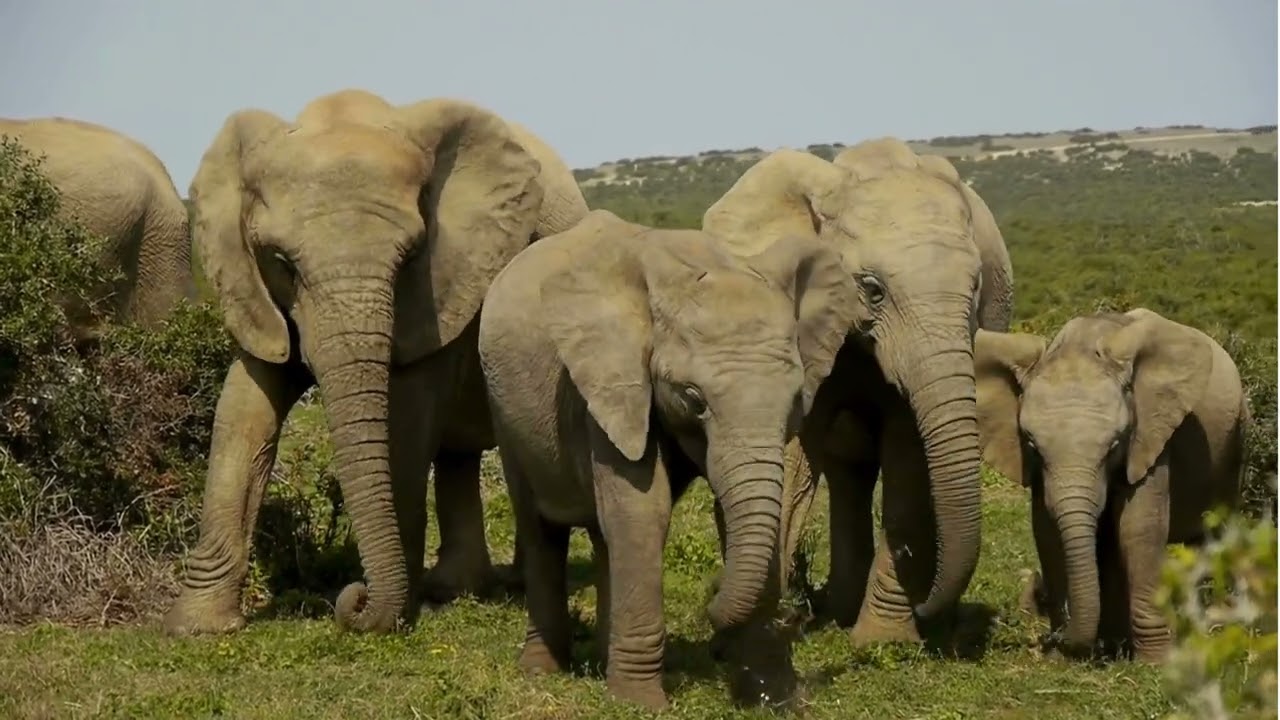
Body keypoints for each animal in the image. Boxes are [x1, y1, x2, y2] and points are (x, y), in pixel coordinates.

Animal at [162, 89, 588, 636]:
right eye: (281, 262)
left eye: (409, 257)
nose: (354, 598)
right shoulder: (254, 290)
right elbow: (245, 407)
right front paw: (198, 628)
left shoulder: (444, 282)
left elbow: (408, 413)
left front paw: (396, 615)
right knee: (458, 451)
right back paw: (454, 590)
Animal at [476, 209, 862, 710]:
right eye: (693, 398)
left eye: (796, 398)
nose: (711, 599)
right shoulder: (608, 382)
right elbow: (644, 508)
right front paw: (639, 705)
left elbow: (729, 508)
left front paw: (771, 696)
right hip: (504, 407)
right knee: (541, 527)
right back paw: (543, 669)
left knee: (604, 533)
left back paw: (602, 659)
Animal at [700, 138, 1014, 646]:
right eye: (872, 289)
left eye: (976, 287)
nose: (928, 606)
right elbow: (791, 456)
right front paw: (762, 634)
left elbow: (908, 452)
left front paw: (884, 641)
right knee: (848, 466)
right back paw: (836, 610)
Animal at [974, 307, 1248, 662]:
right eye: (1033, 446)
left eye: (1115, 444)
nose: (1058, 638)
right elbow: (1047, 529)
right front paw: (1064, 655)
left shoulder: (1150, 432)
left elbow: (1138, 526)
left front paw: (1155, 660)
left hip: (1235, 441)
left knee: (1211, 534)